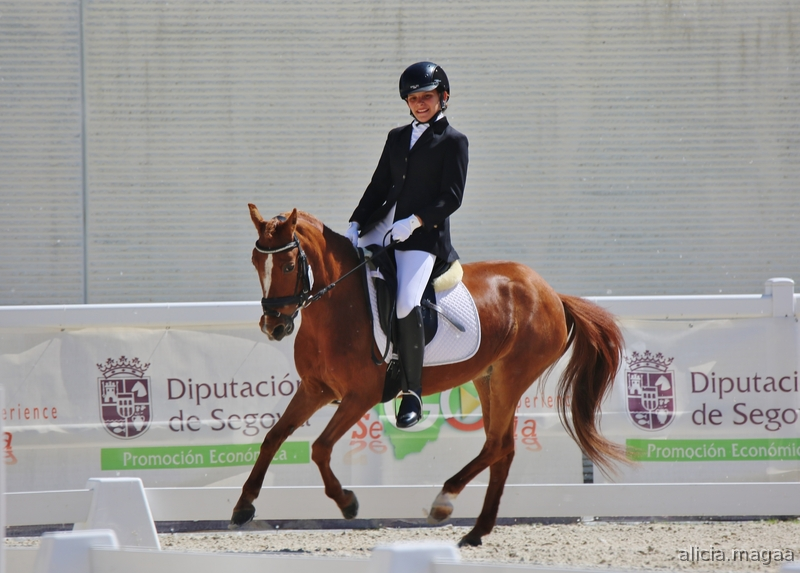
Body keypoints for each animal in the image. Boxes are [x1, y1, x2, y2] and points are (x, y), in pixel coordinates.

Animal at [231, 204, 627, 547]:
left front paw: (347, 502)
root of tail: (551, 293)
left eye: (287, 266)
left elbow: (320, 447)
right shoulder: (315, 389)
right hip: (487, 378)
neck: (338, 307)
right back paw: (476, 531)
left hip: (510, 377)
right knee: (503, 448)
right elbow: (273, 437)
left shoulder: (360, 396)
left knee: (497, 446)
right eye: (255, 262)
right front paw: (243, 506)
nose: (273, 327)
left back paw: (443, 501)